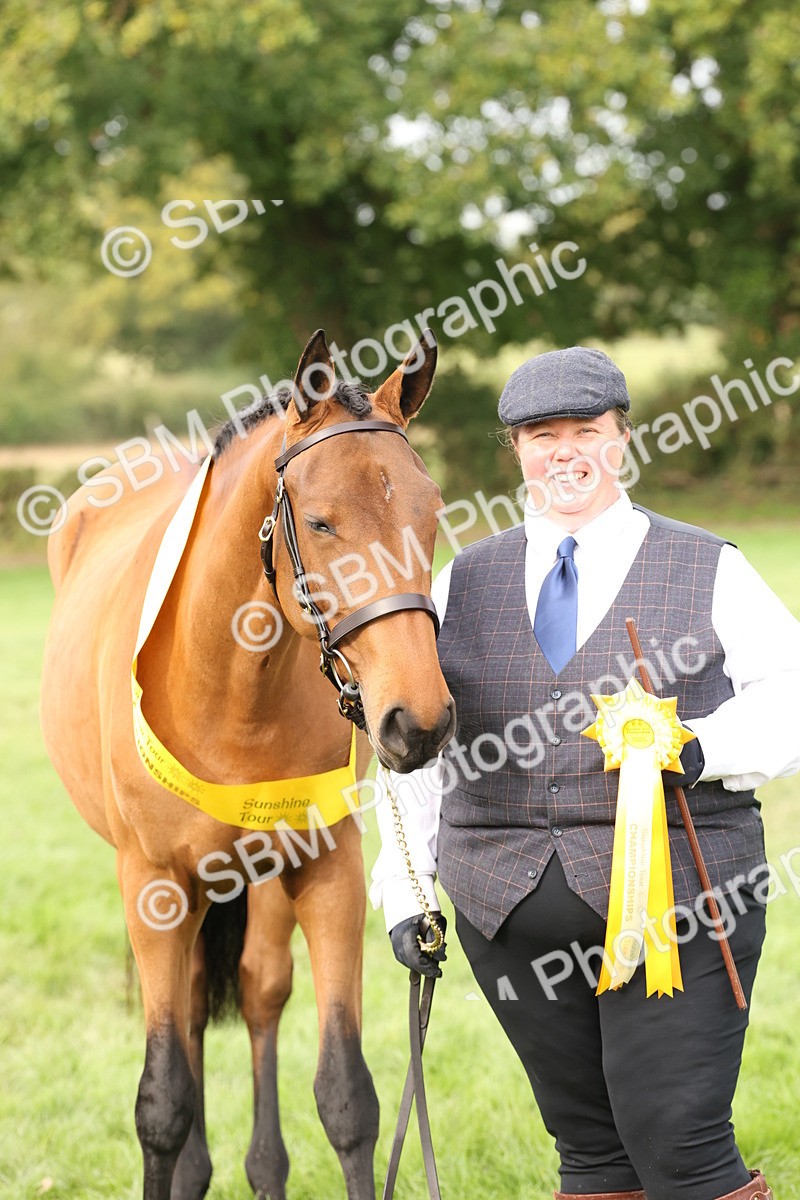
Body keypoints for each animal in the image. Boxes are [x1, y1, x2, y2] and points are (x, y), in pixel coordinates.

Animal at [40, 328, 455, 1200]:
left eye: (431, 511)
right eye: (322, 522)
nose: (419, 721)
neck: (229, 689)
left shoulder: (328, 871)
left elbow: (347, 1096)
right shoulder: (155, 886)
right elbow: (162, 1102)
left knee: (261, 990)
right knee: (196, 1006)